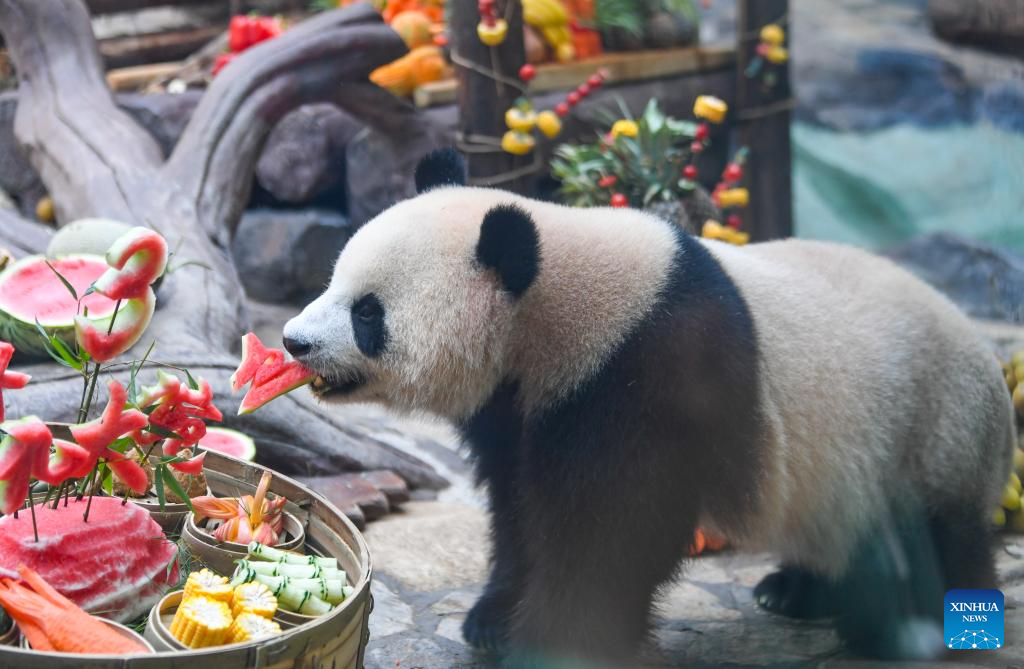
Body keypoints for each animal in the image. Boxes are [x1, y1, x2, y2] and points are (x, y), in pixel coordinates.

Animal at [282, 148, 1015, 663]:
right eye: (334, 280)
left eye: (368, 312)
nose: (294, 340)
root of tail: (992, 374)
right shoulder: (523, 405)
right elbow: (518, 507)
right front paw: (492, 618)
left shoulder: (649, 374)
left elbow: (610, 531)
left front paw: (554, 641)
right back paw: (794, 591)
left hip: (928, 429)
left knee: (930, 542)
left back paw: (908, 628)